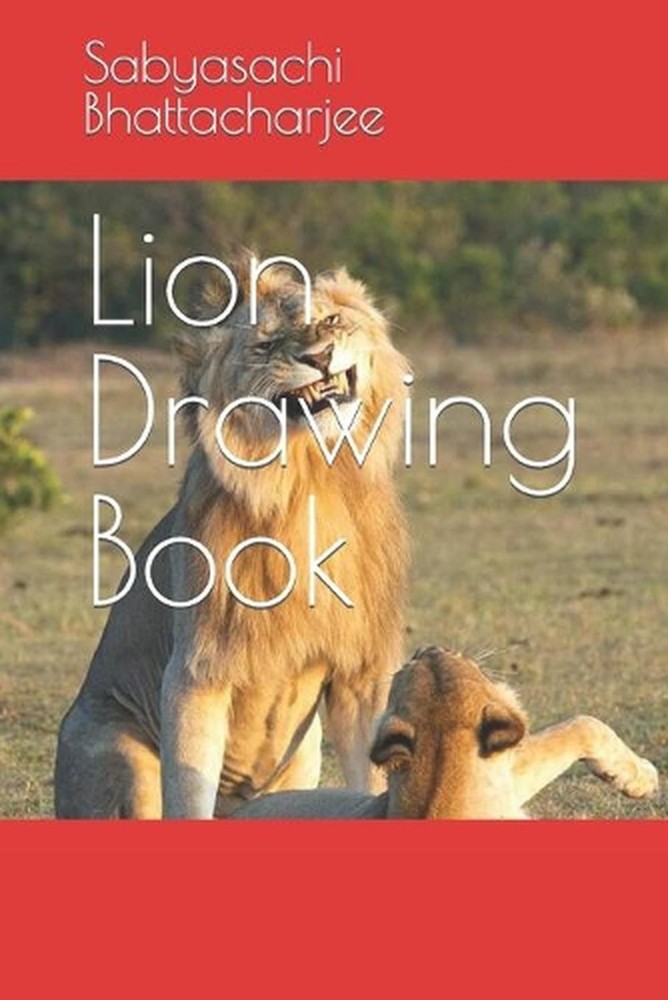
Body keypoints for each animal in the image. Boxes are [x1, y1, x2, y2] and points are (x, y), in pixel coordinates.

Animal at [55, 255, 410, 818]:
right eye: (265, 345)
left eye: (331, 321)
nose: (319, 356)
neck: (311, 481)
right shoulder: (196, 672)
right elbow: (188, 792)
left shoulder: (362, 670)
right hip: (117, 752)